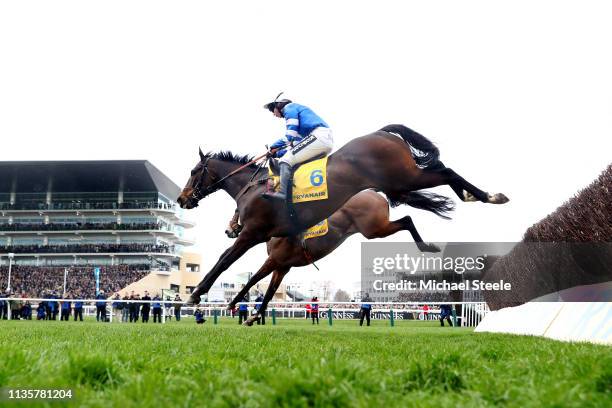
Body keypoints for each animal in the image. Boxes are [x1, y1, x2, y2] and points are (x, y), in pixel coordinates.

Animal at [177, 124, 506, 306]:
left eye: (193, 172)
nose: (182, 199)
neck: (255, 188)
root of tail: (381, 132)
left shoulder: (253, 234)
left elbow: (224, 261)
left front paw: (196, 294)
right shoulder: (273, 248)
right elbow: (256, 277)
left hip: (405, 176)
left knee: (447, 172)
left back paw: (489, 196)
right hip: (396, 187)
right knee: (415, 209)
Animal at [222, 188, 442, 326]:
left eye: (238, 208)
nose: (228, 230)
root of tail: (374, 192)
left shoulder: (275, 260)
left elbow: (253, 280)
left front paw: (233, 304)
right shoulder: (283, 266)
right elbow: (269, 293)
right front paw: (252, 317)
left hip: (375, 229)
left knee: (407, 220)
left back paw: (427, 247)